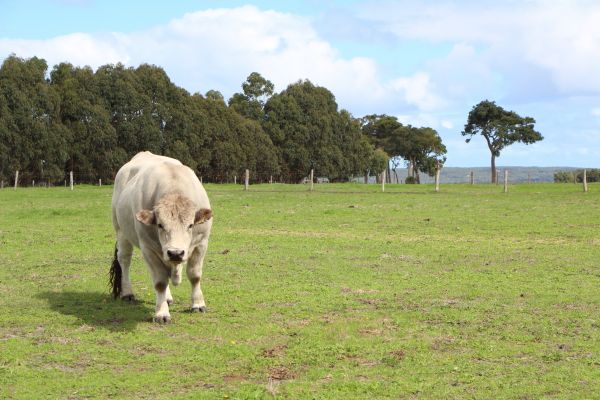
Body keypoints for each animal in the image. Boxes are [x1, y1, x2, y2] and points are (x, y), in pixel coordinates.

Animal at [110, 152, 213, 324]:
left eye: (191, 225)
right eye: (159, 225)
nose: (176, 253)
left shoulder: (201, 243)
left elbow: (194, 275)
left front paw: (198, 304)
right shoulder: (148, 248)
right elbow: (160, 282)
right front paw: (161, 313)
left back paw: (168, 297)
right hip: (121, 231)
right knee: (124, 260)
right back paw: (127, 293)